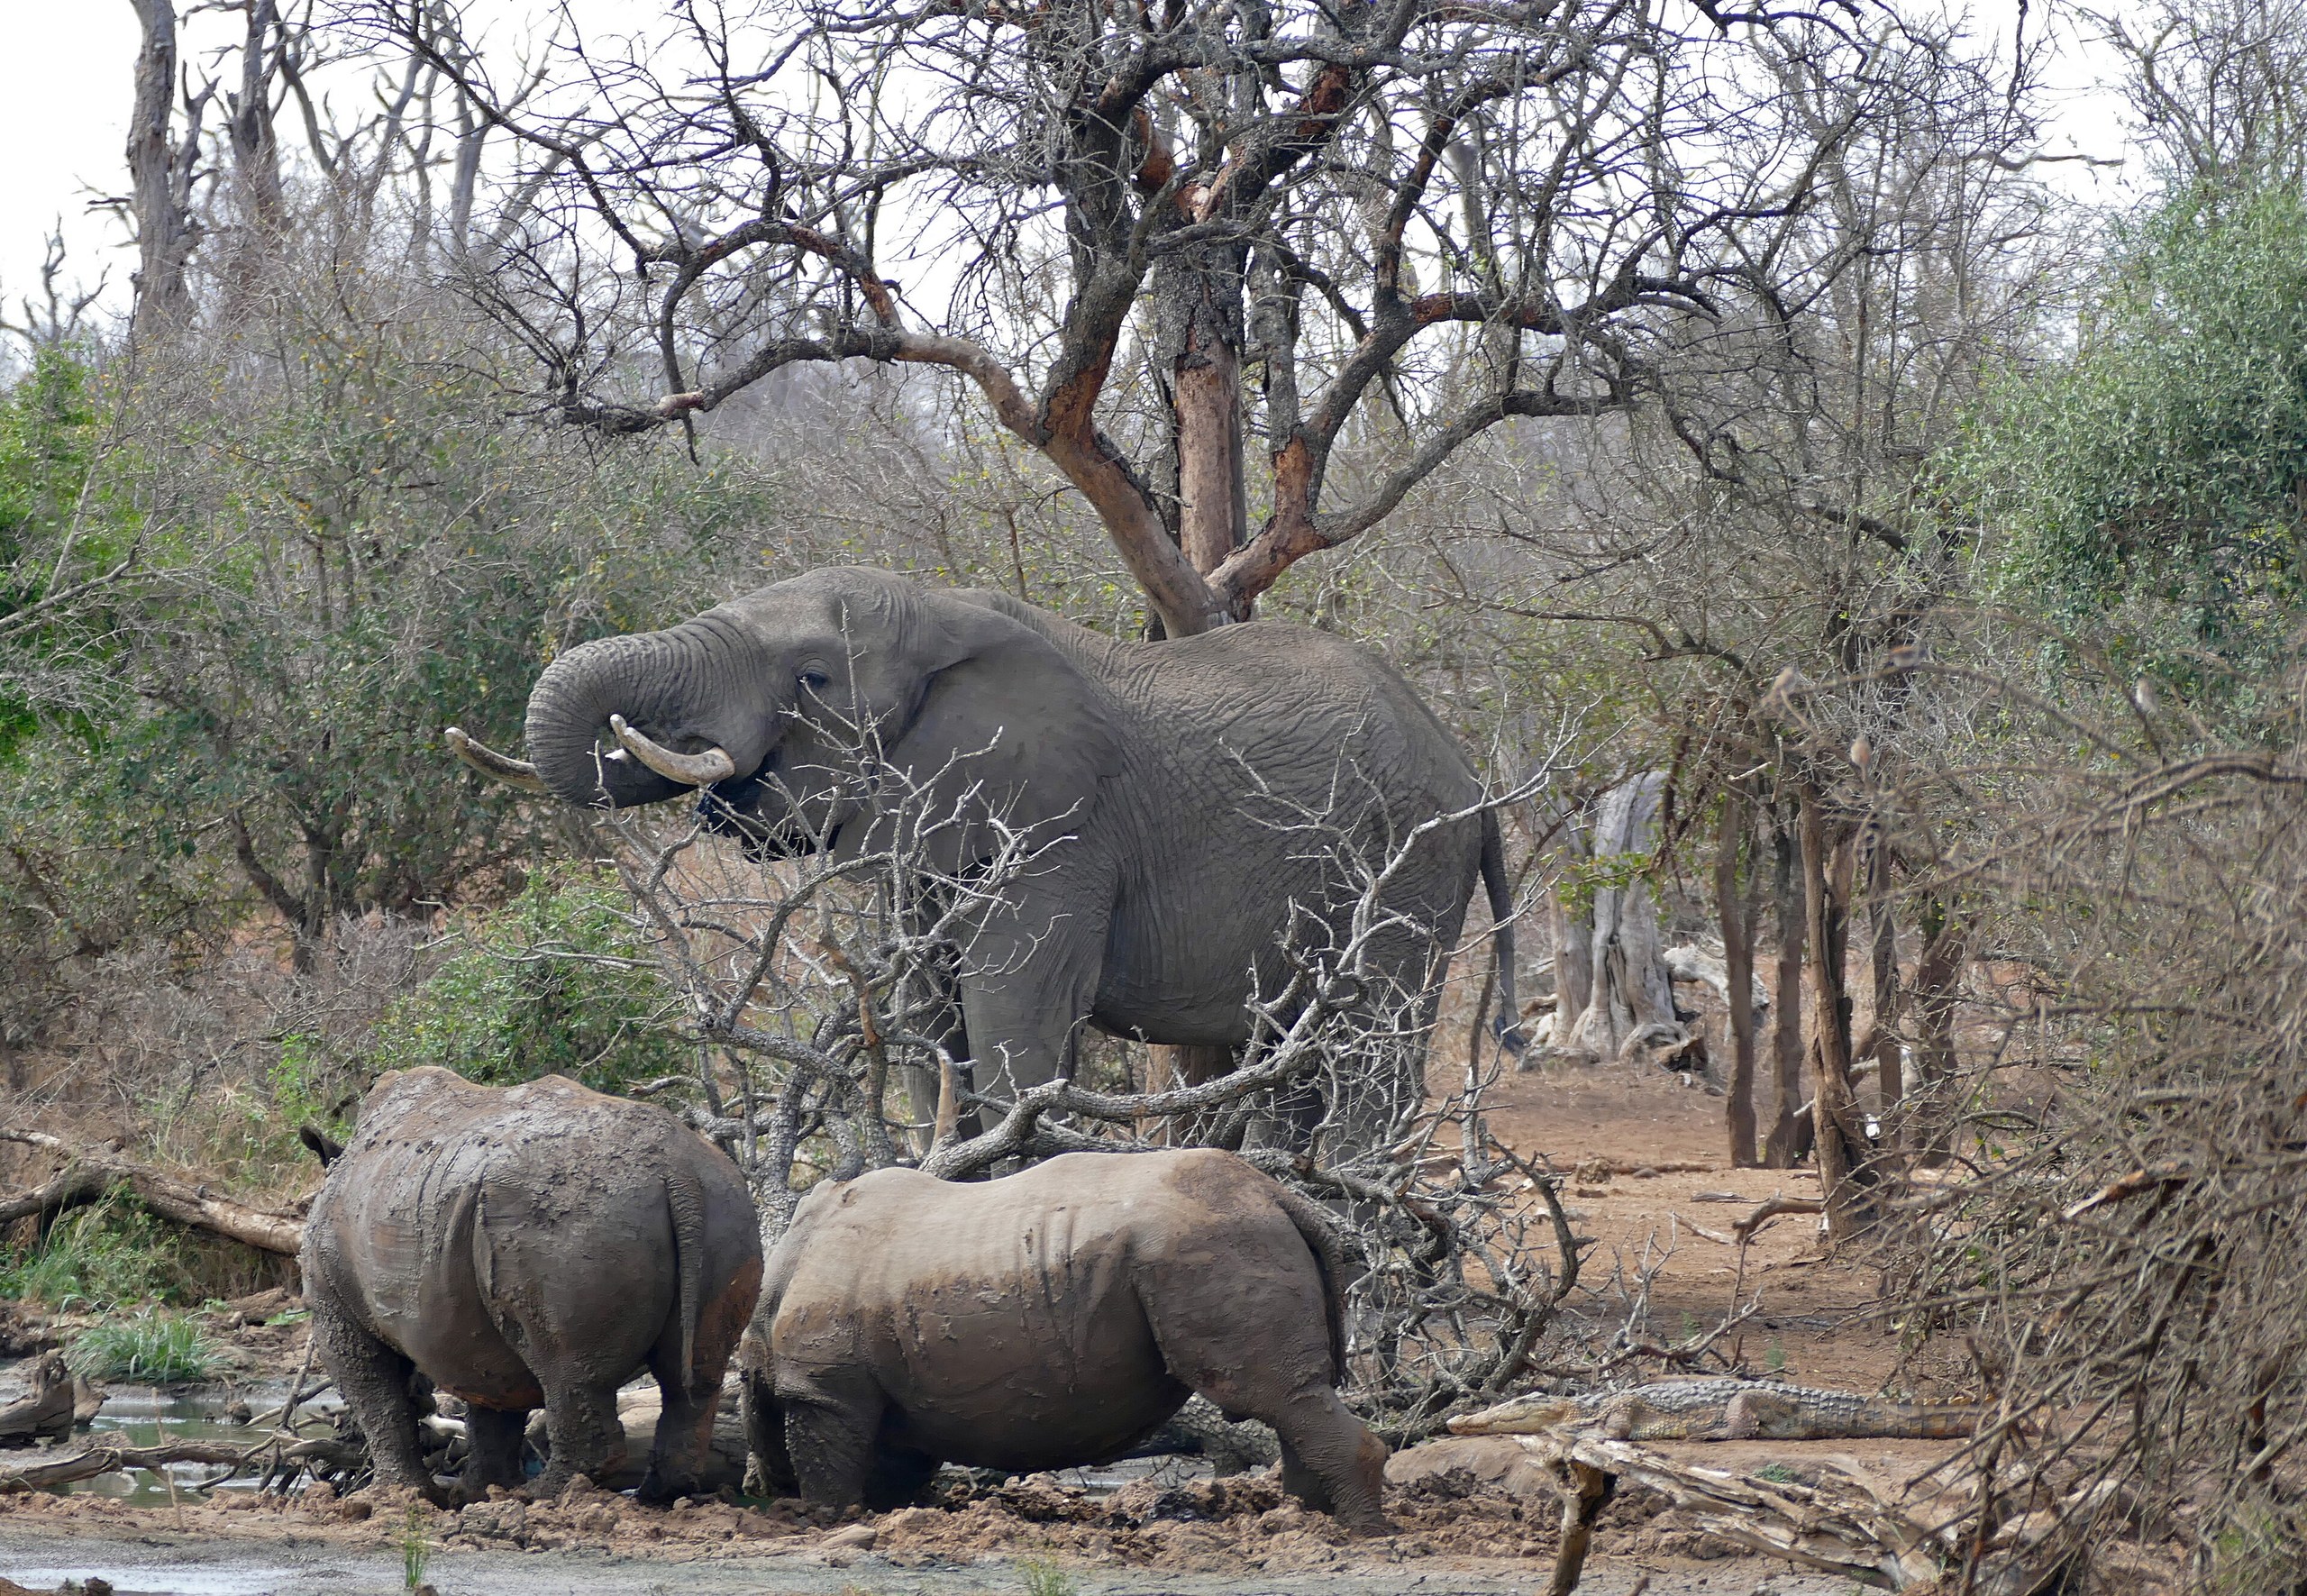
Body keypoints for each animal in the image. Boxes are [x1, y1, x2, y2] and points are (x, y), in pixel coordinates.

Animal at [301, 1067, 763, 1504]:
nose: (426, 1399)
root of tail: (677, 1170)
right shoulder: (464, 1317)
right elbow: (489, 1394)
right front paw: (480, 1492)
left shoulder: (335, 1302)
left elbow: (375, 1394)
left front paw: (400, 1496)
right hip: (724, 1205)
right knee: (693, 1374)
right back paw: (659, 1494)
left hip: (570, 1226)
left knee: (566, 1366)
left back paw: (546, 1494)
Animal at [452, 566, 1518, 1139]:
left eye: (814, 677)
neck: (943, 610)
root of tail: (1469, 771)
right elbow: (929, 1033)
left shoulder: (1061, 830)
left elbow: (1013, 1030)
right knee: (1300, 1060)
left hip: (1410, 863)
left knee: (1369, 1054)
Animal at [739, 1149, 1389, 1530]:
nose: (759, 1487)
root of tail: (1281, 1196)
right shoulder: (894, 1390)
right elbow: (889, 1469)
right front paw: (879, 1516)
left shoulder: (824, 1386)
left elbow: (830, 1468)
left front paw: (826, 1521)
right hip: (1234, 1234)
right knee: (1293, 1400)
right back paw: (1303, 1523)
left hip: (1213, 1241)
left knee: (1267, 1394)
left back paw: (1358, 1535)